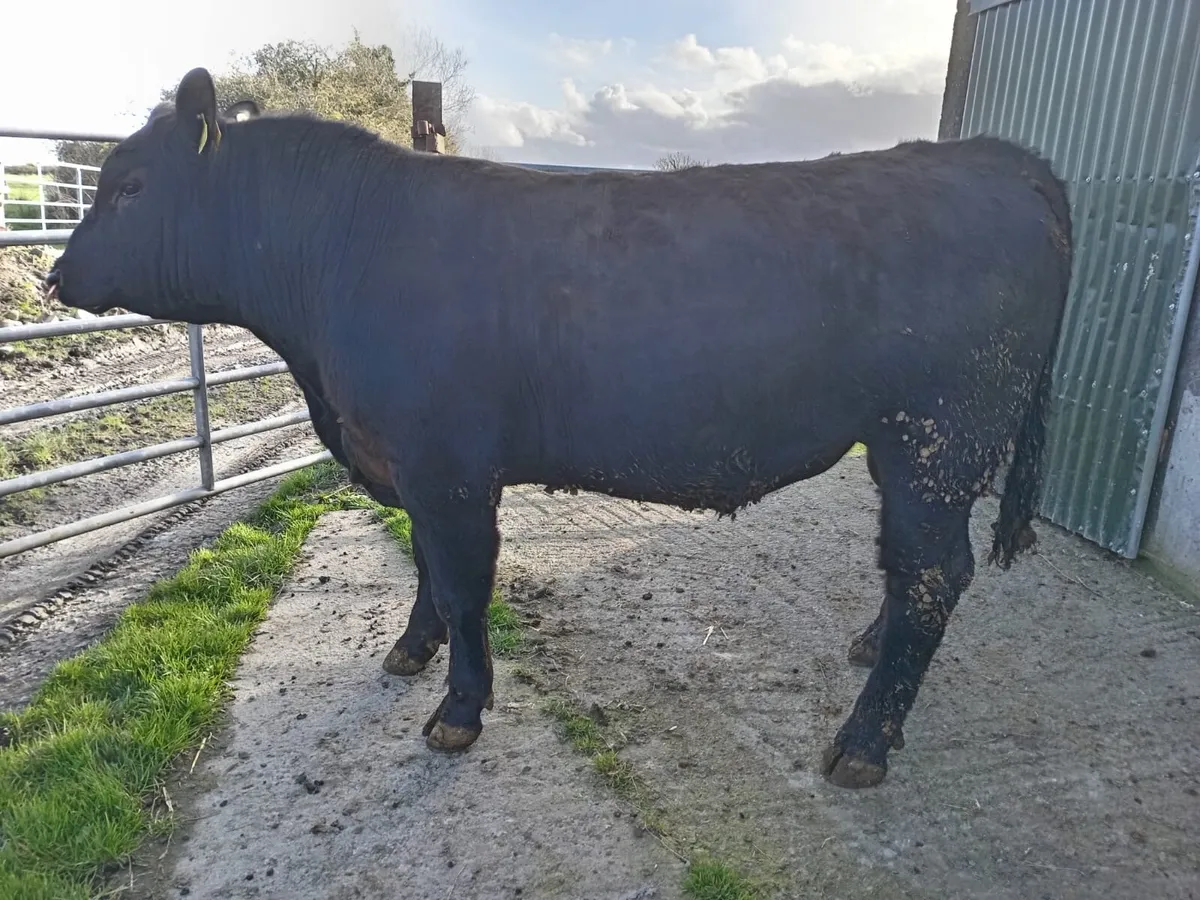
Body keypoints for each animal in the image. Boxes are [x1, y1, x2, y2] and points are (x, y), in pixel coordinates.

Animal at [45, 67, 1073, 789]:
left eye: (131, 188)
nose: (55, 276)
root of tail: (995, 157)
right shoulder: (415, 469)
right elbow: (426, 568)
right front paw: (409, 650)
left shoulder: (447, 465)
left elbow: (463, 584)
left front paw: (458, 712)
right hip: (919, 448)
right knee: (915, 573)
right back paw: (868, 652)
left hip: (937, 437)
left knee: (934, 574)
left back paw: (864, 740)